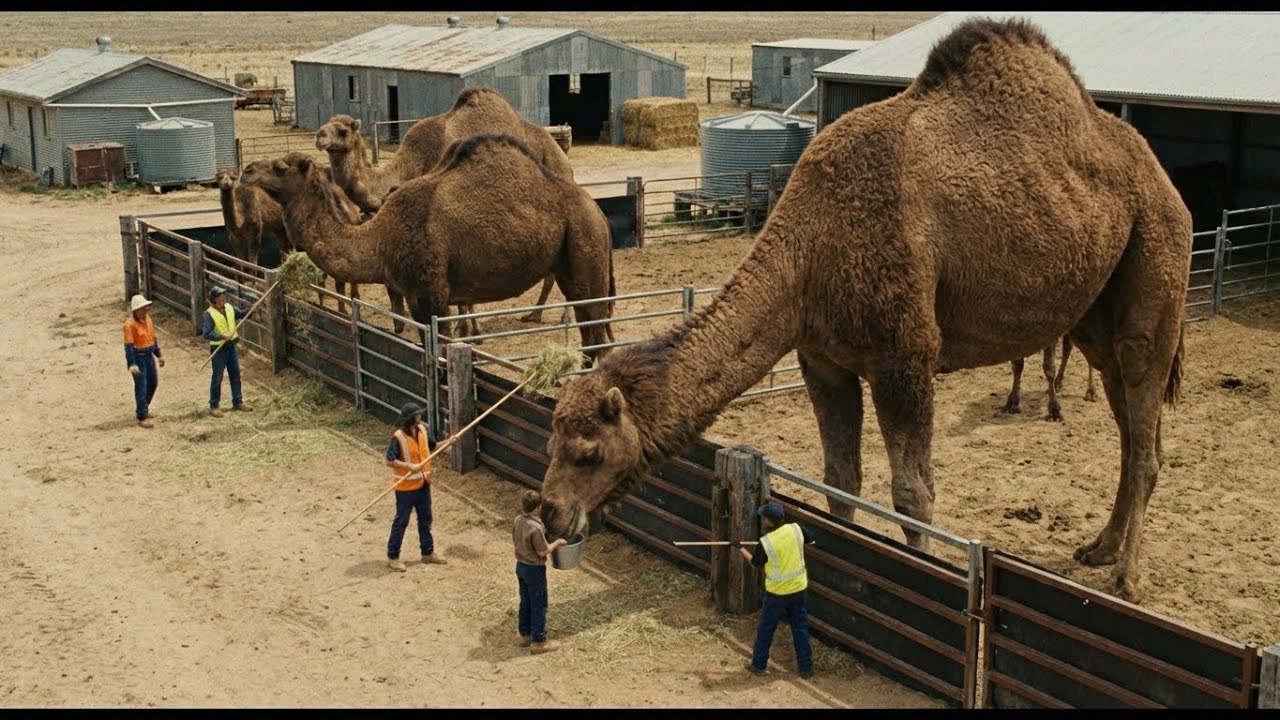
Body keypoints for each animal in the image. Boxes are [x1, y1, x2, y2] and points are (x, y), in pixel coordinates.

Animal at [239, 134, 616, 360]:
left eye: (280, 167)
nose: (246, 171)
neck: (380, 238)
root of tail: (598, 210)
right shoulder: (412, 295)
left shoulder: (431, 292)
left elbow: (442, 353)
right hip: (571, 261)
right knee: (591, 331)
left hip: (585, 241)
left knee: (597, 328)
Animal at [537, 17, 1191, 604]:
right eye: (551, 442)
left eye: (588, 452)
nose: (548, 513)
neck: (811, 251)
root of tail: (1163, 179)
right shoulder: (823, 359)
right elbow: (840, 483)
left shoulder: (905, 358)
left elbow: (912, 495)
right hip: (1096, 307)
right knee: (1131, 426)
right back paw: (1098, 548)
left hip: (1157, 255)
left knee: (1144, 429)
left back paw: (1128, 578)